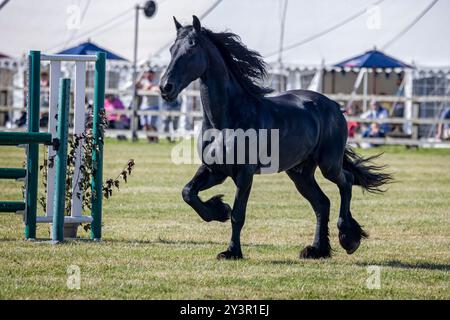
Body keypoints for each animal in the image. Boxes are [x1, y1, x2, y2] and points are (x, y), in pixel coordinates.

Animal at [161, 15, 390, 260]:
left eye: (191, 48)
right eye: (172, 49)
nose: (166, 88)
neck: (225, 120)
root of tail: (334, 106)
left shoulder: (244, 174)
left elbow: (238, 215)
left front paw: (232, 251)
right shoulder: (215, 170)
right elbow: (188, 193)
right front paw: (218, 210)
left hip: (329, 164)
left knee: (345, 182)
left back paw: (348, 238)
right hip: (300, 173)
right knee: (322, 203)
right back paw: (317, 250)